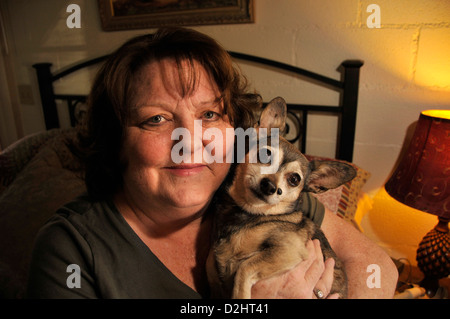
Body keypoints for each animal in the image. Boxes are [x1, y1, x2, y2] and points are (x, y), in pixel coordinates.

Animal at [206, 97, 356, 300]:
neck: (247, 214)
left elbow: (244, 267)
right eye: (265, 154)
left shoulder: (289, 249)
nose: (269, 185)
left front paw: (239, 294)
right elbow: (211, 267)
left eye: (295, 179)